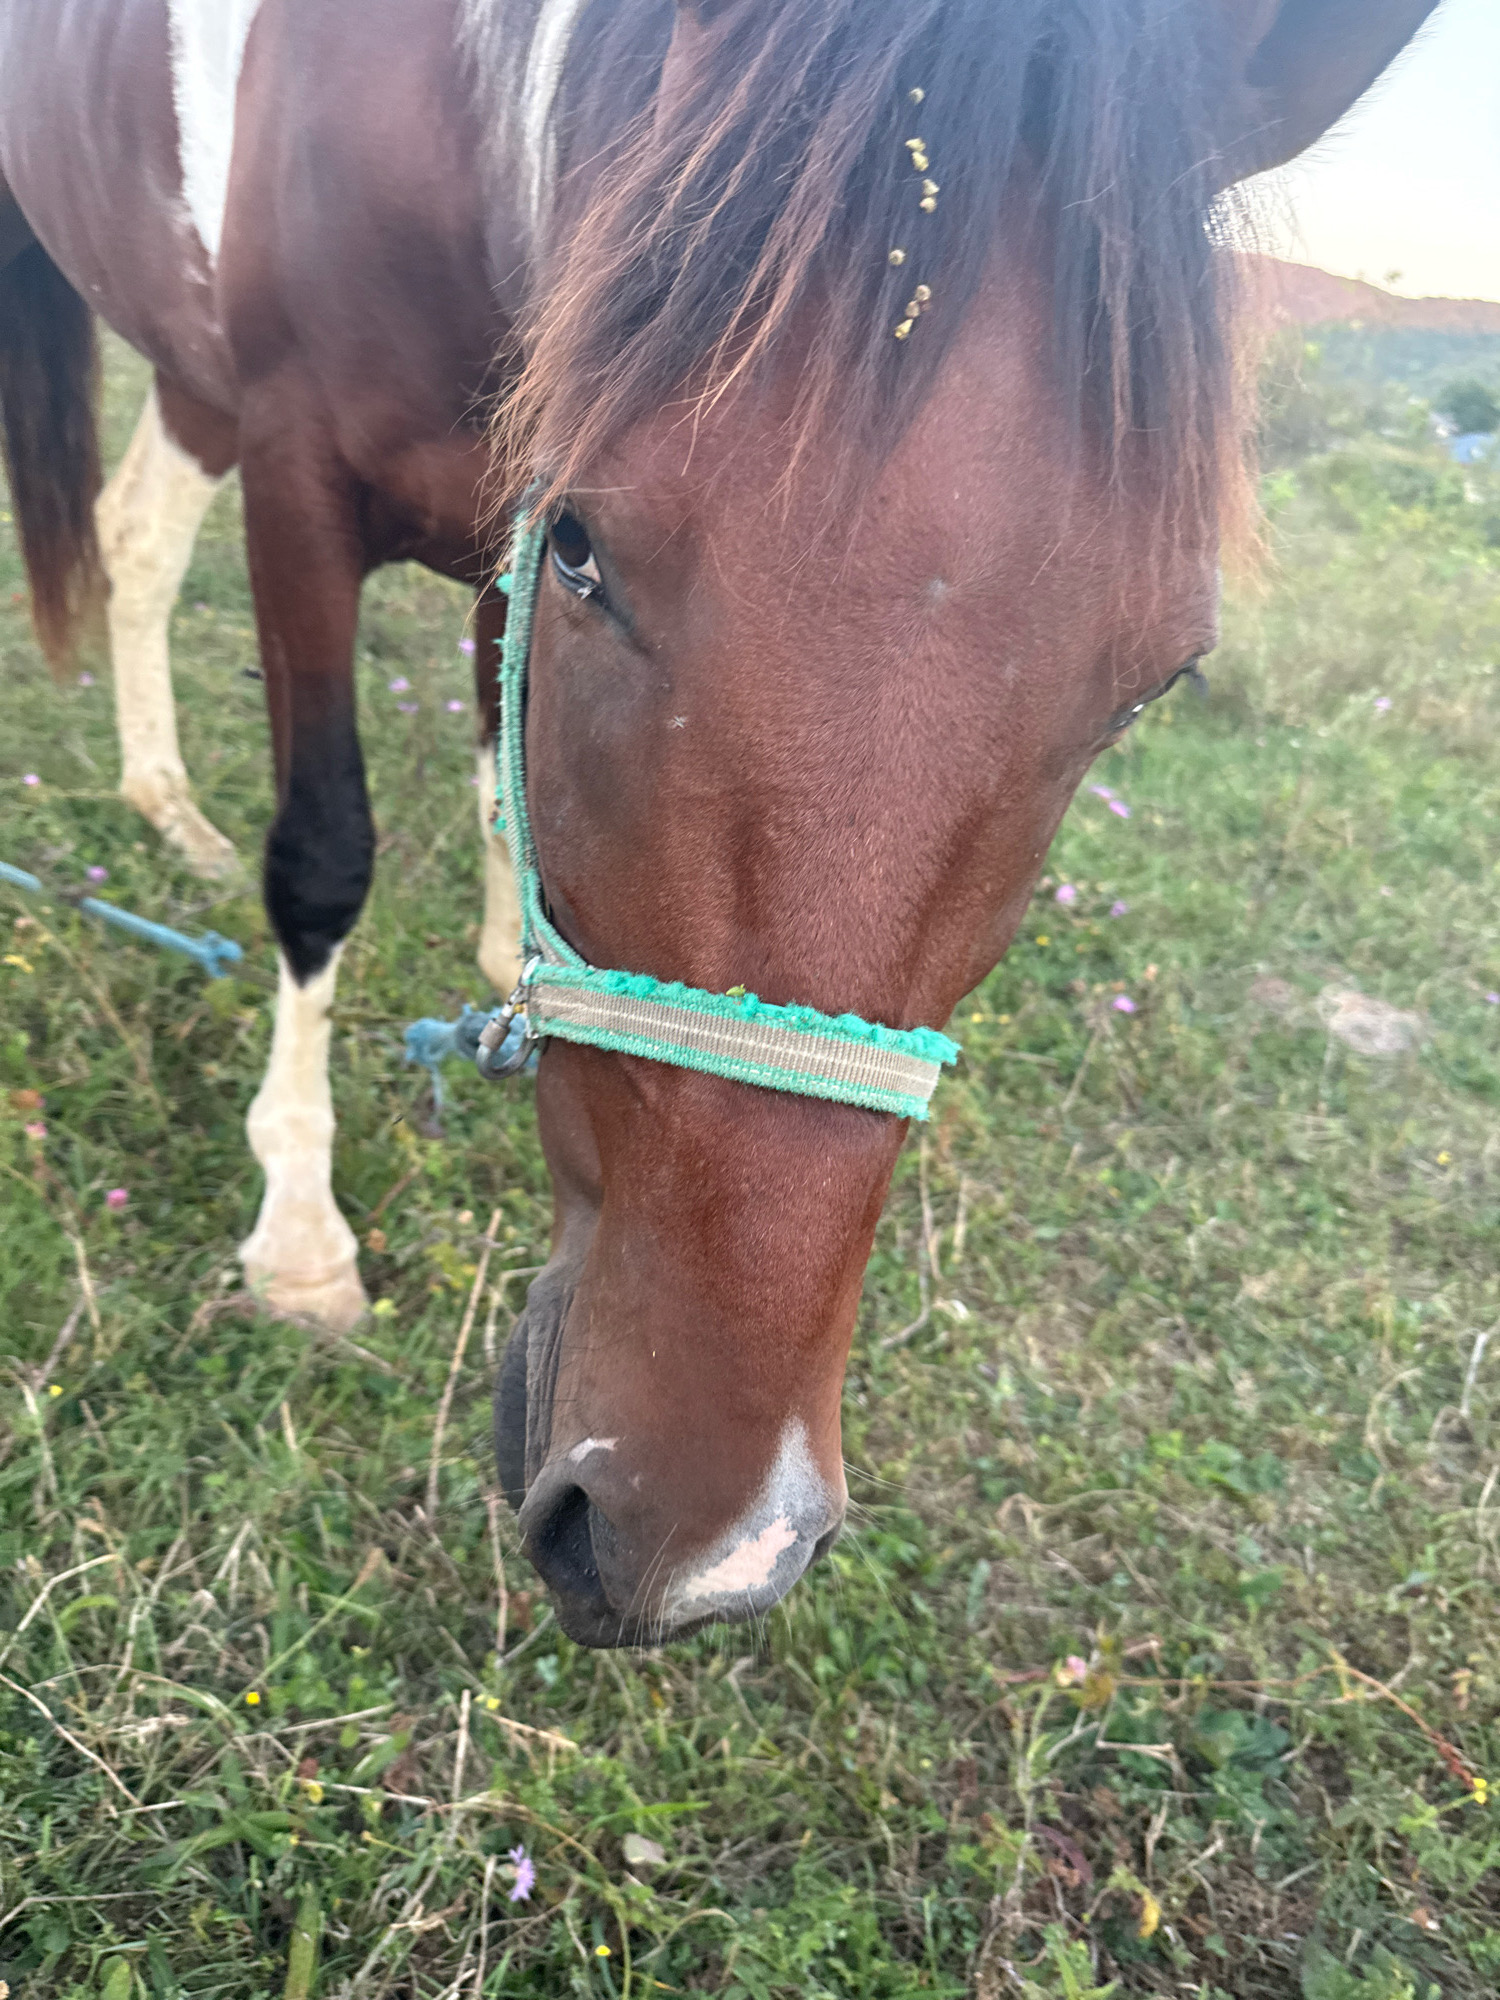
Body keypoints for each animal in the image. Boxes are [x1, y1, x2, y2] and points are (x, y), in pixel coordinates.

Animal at [0, 0, 1435, 1647]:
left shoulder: (498, 464)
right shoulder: (318, 478)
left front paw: (501, 965)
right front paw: (300, 1235)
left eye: (1155, 683)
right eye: (584, 549)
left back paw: (167, 808)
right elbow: (324, 858)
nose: (710, 1546)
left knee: (134, 533)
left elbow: (502, 773)